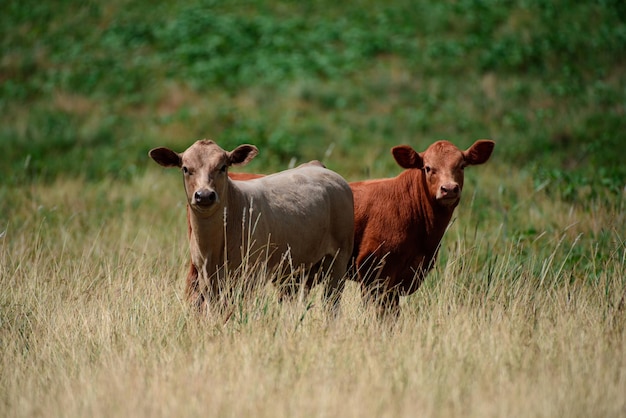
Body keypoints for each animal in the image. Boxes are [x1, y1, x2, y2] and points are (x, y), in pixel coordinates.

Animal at [150, 139, 356, 312]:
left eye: (223, 167)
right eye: (185, 168)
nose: (205, 195)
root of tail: (318, 167)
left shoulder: (250, 274)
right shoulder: (206, 277)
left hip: (339, 257)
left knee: (332, 303)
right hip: (296, 267)